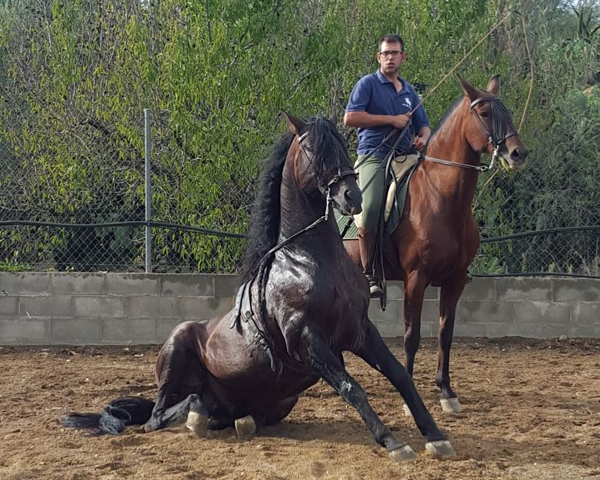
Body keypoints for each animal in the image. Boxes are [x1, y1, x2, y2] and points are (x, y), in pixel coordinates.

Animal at [62, 113, 454, 462]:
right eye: (312, 149)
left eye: (342, 146)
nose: (351, 197)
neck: (308, 259)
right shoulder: (307, 339)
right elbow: (351, 387)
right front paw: (393, 442)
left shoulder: (359, 330)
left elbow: (400, 376)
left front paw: (436, 436)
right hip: (176, 349)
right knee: (159, 416)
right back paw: (195, 413)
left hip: (282, 399)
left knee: (229, 416)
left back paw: (239, 421)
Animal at [344, 75, 528, 412]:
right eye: (484, 113)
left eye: (507, 111)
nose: (517, 153)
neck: (440, 197)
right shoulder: (416, 279)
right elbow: (411, 336)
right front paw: (409, 396)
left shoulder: (455, 280)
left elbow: (445, 334)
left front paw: (446, 391)